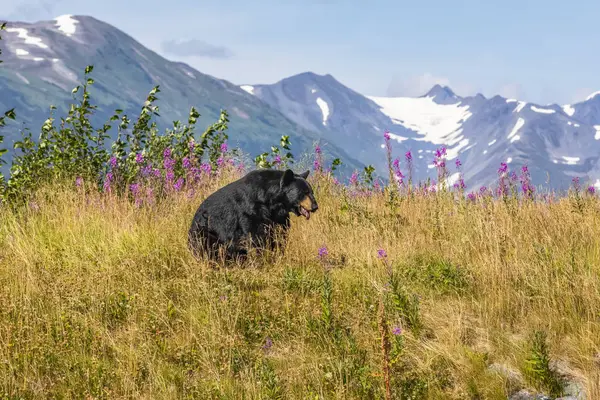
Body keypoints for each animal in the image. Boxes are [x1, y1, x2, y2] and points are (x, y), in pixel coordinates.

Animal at [188, 167, 318, 260]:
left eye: (311, 191)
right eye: (304, 192)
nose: (315, 207)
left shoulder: (278, 216)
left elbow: (280, 234)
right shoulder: (249, 211)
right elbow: (255, 235)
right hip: (205, 230)